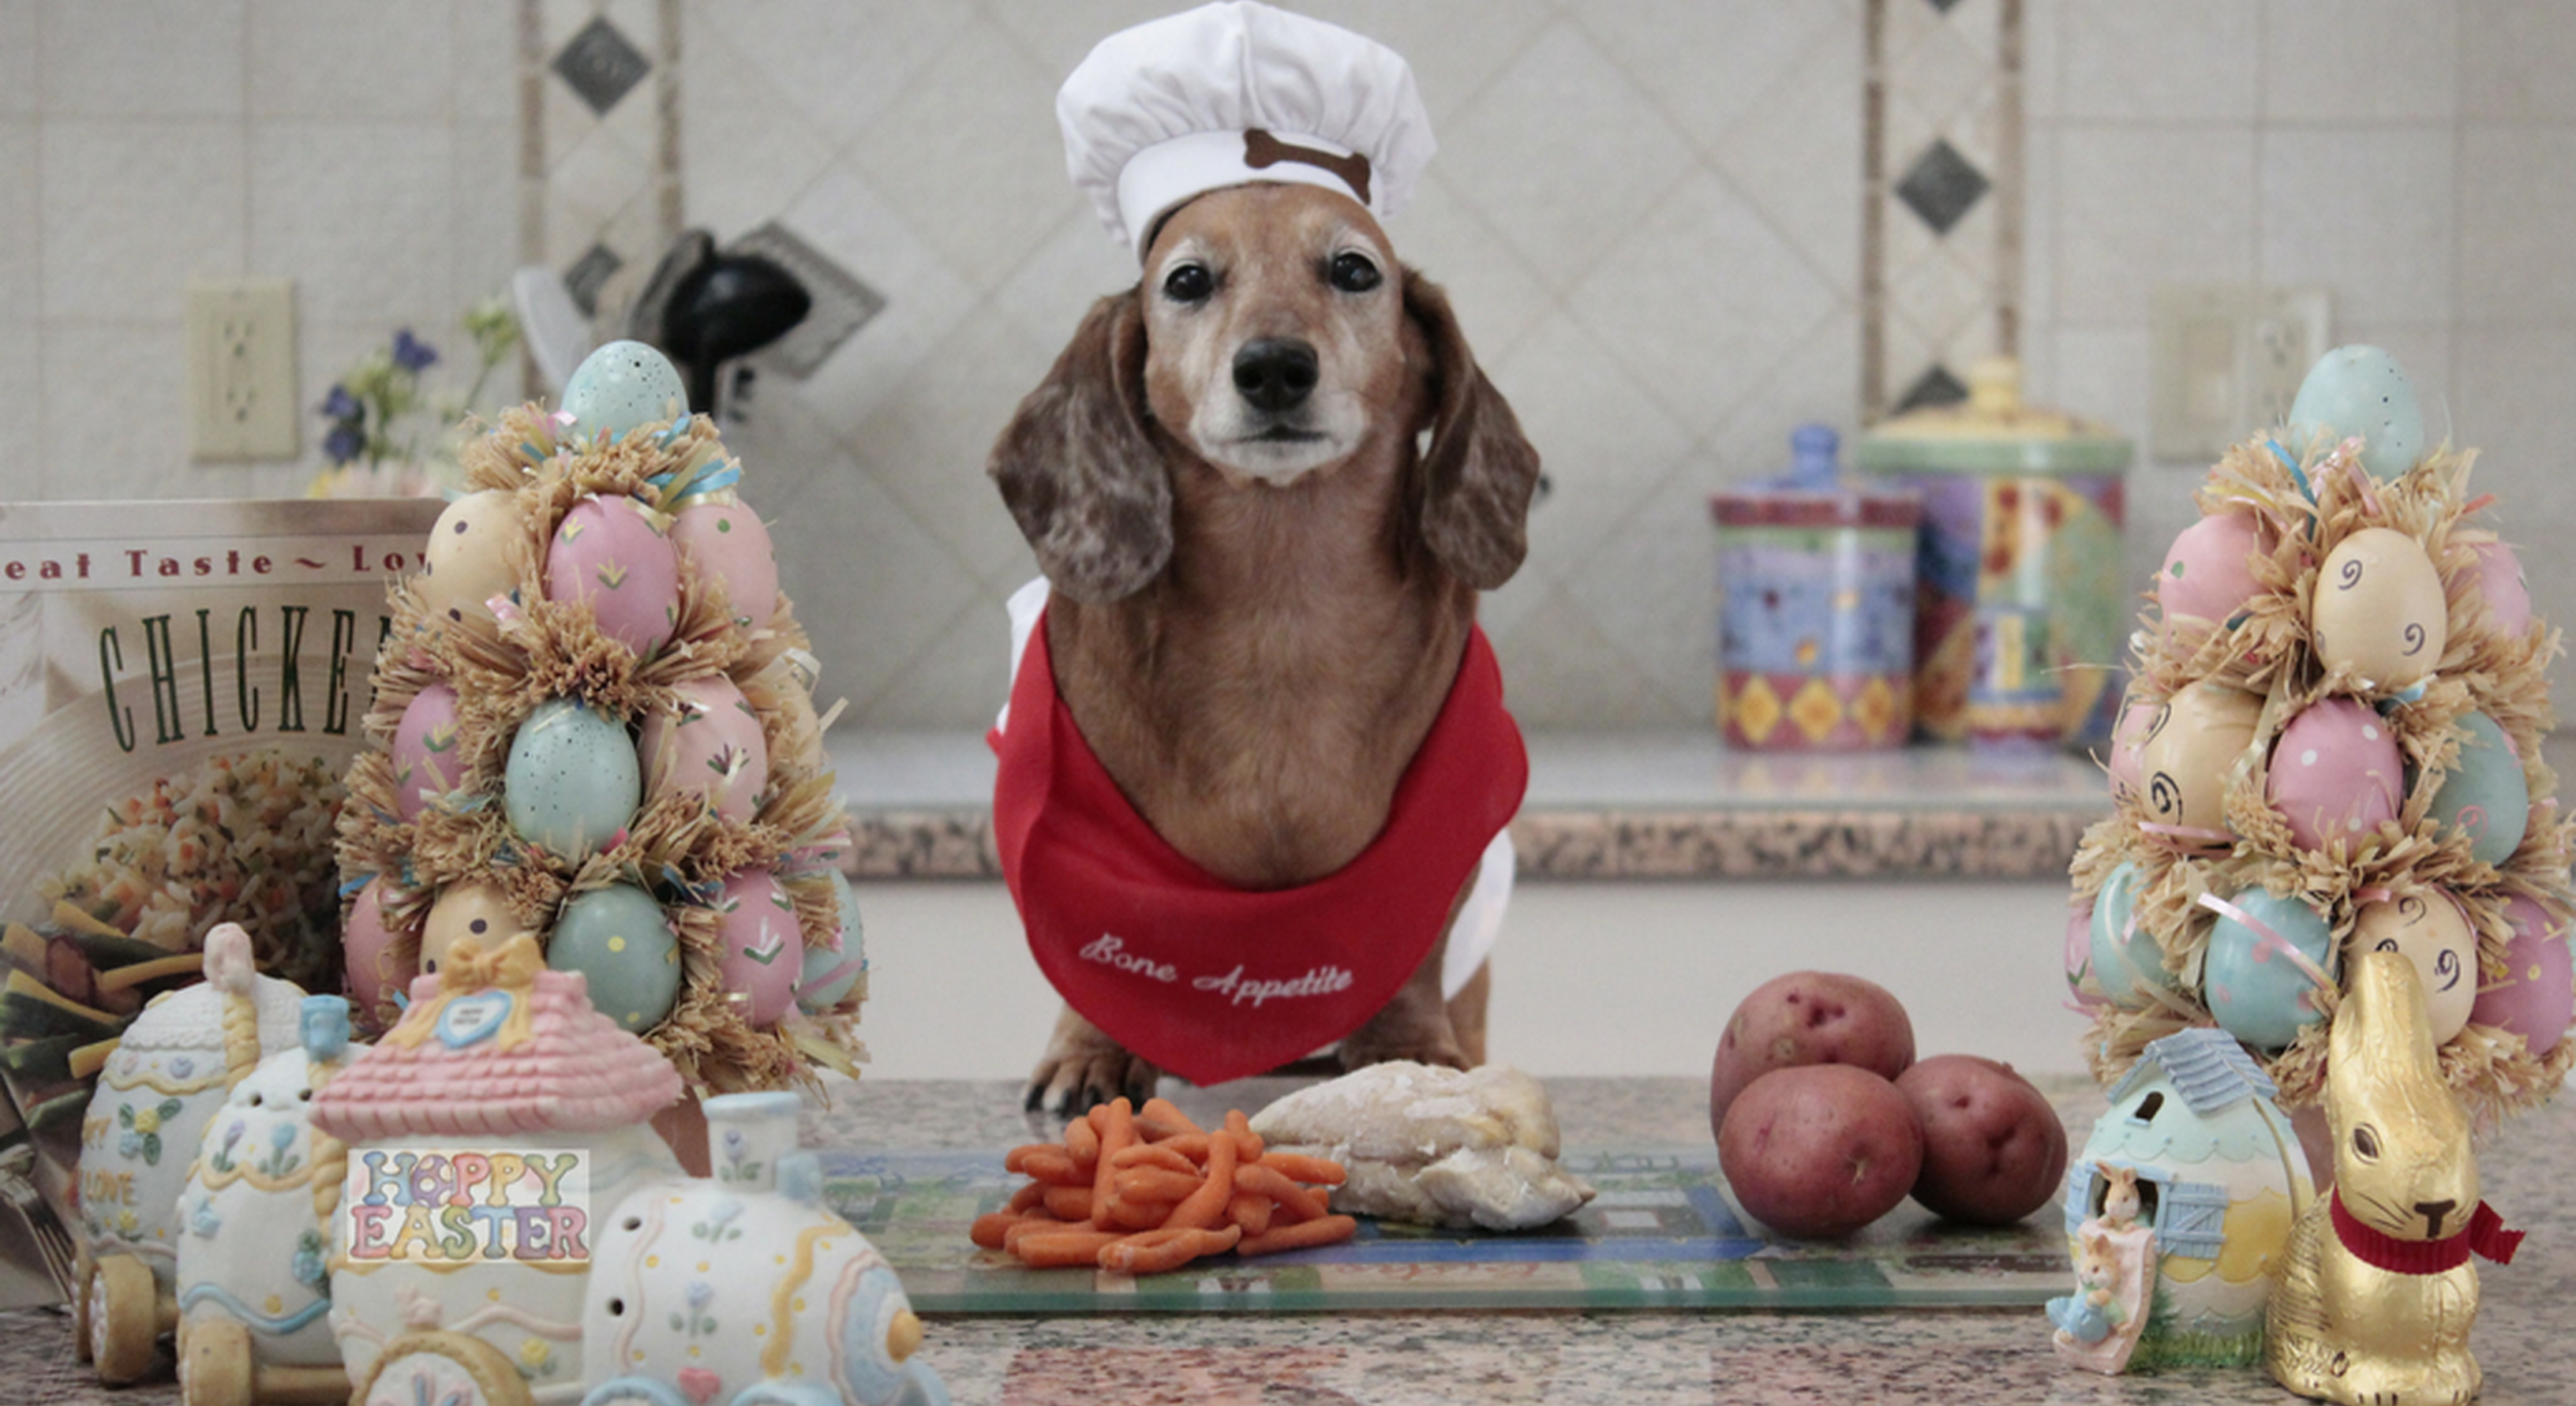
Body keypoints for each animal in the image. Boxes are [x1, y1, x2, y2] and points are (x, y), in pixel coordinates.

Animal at [994, 180, 1535, 1112]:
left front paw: (1407, 1047)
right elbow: (1086, 955)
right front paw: (1090, 1051)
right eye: (1186, 280)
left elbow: (1415, 948)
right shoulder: (1077, 838)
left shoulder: (1445, 836)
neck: (1278, 606)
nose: (1275, 366)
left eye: (1355, 269)